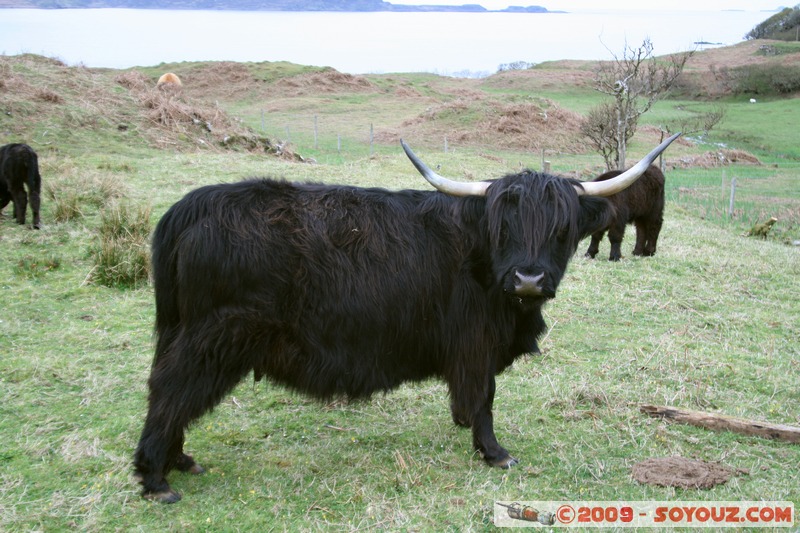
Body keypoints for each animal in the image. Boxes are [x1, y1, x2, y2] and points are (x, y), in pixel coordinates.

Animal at [134, 133, 680, 502]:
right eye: (503, 227)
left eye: (562, 228)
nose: (528, 279)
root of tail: (191, 207)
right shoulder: (475, 345)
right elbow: (484, 397)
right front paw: (494, 452)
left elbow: (473, 396)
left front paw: (466, 428)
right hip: (212, 338)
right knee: (169, 392)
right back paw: (156, 478)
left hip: (182, 333)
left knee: (169, 391)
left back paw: (179, 460)